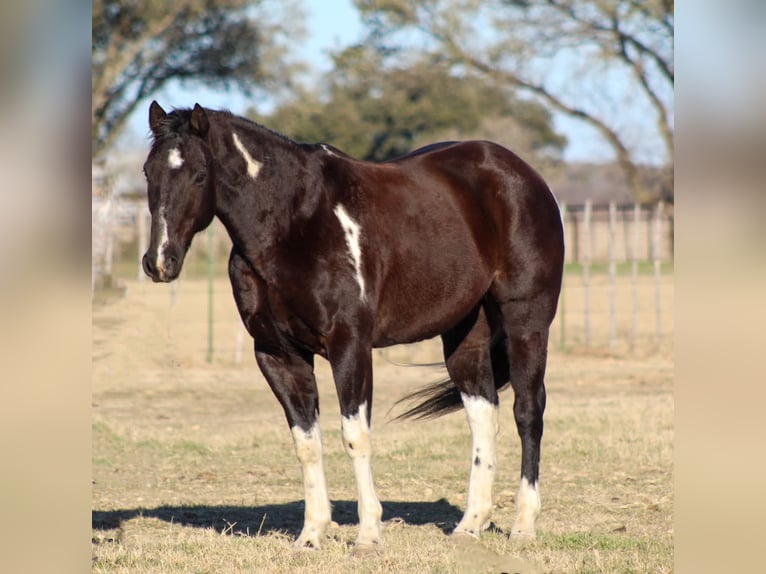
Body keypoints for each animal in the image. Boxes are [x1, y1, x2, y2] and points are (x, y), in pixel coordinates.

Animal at [141, 102, 568, 552]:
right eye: (149, 172)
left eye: (199, 174)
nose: (159, 261)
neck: (293, 222)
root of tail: (524, 176)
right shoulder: (278, 355)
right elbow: (306, 443)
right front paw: (311, 535)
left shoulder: (349, 346)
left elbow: (354, 435)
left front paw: (368, 535)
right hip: (465, 334)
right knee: (483, 413)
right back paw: (470, 524)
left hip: (528, 322)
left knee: (528, 411)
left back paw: (523, 525)